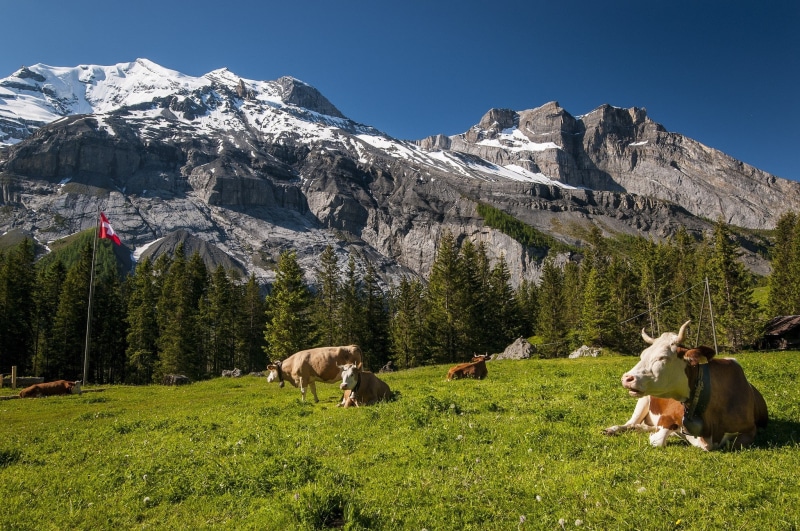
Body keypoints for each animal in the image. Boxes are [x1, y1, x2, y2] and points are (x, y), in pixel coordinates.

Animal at [605, 320, 768, 450]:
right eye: (642, 355)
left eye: (663, 357)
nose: (626, 378)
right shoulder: (668, 416)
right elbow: (658, 440)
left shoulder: (751, 429)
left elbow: (735, 444)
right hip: (643, 400)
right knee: (630, 423)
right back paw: (613, 429)